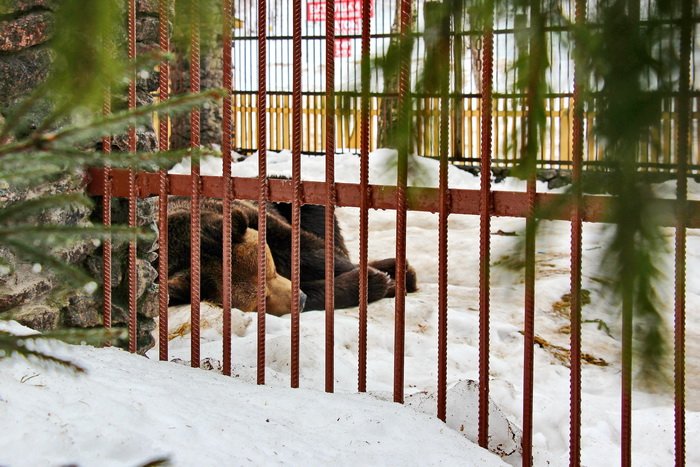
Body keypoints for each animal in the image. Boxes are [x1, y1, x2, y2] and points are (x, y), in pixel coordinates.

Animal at [167, 198, 418, 318]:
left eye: (270, 269)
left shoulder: (258, 220)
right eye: (261, 300)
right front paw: (377, 281)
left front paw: (388, 278)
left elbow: (310, 252)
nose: (301, 298)